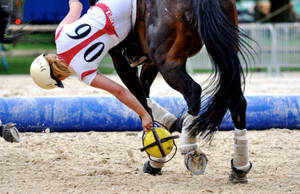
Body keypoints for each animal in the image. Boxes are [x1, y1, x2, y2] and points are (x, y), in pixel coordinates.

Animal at [91, 0, 253, 183]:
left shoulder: (120, 58)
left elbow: (140, 100)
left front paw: (156, 155)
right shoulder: (148, 60)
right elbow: (144, 96)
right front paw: (170, 129)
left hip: (167, 62)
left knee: (193, 91)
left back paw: (190, 145)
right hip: (227, 51)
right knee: (237, 102)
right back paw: (239, 168)